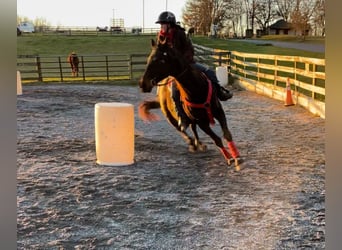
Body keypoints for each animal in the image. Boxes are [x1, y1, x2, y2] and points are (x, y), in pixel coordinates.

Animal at [138, 39, 242, 168]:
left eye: (160, 60)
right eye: (149, 59)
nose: (143, 84)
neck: (196, 89)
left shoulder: (219, 112)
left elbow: (227, 134)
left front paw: (237, 157)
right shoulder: (202, 122)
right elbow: (217, 139)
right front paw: (229, 158)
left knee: (192, 128)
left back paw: (199, 143)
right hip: (170, 116)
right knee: (181, 129)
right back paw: (192, 143)